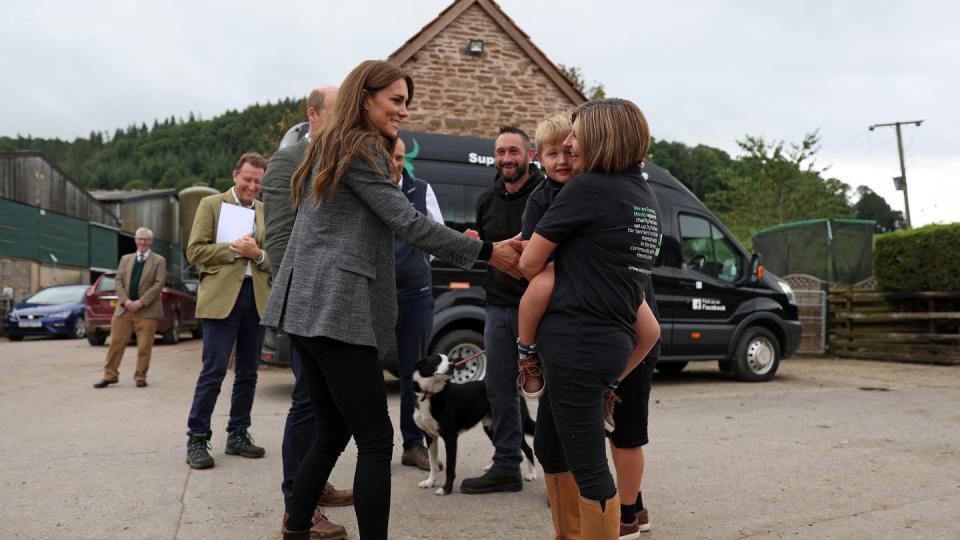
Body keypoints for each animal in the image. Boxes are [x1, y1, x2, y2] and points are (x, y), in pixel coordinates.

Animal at [408, 352, 536, 496]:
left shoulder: (450, 438)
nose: (452, 366)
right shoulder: (430, 436)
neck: (431, 394)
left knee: (528, 449)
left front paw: (446, 489)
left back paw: (532, 474)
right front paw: (430, 482)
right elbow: (433, 463)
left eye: (450, 360)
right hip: (491, 428)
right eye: (436, 360)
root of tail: (518, 392)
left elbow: (450, 468)